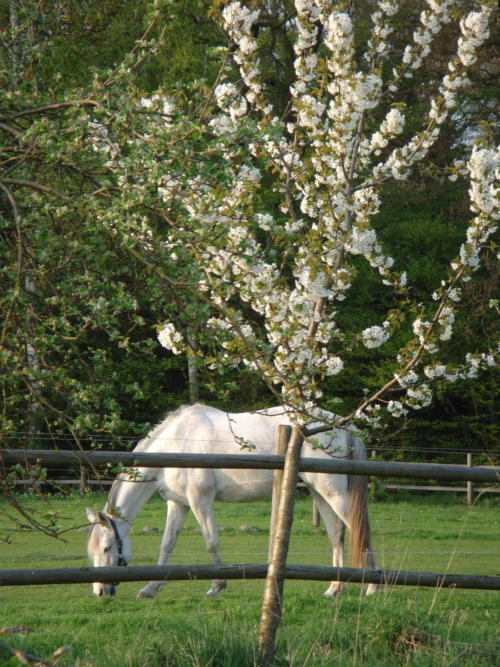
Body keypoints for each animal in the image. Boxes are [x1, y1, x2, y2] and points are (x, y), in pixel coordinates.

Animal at [87, 402, 376, 600]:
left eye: (107, 547)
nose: (100, 591)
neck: (176, 444)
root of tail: (342, 426)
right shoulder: (178, 504)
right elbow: (167, 545)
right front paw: (151, 588)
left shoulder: (200, 500)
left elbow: (211, 542)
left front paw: (217, 587)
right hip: (319, 491)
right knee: (336, 533)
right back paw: (334, 588)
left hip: (333, 492)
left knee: (359, 530)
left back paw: (372, 586)